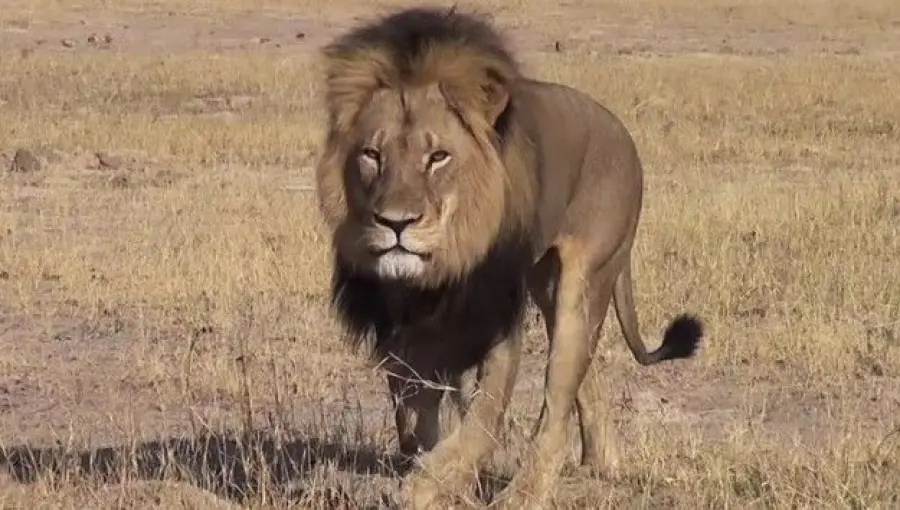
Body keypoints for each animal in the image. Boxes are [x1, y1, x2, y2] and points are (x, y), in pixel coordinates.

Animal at [313, 7, 704, 509]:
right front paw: (436, 477)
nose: (396, 223)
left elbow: (482, 421)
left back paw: (526, 494)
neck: (441, 270)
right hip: (549, 286)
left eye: (438, 157)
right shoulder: (405, 338)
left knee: (557, 404)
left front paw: (430, 482)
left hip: (585, 280)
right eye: (371, 154)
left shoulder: (494, 319)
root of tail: (621, 131)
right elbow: (415, 425)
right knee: (586, 377)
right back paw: (603, 463)